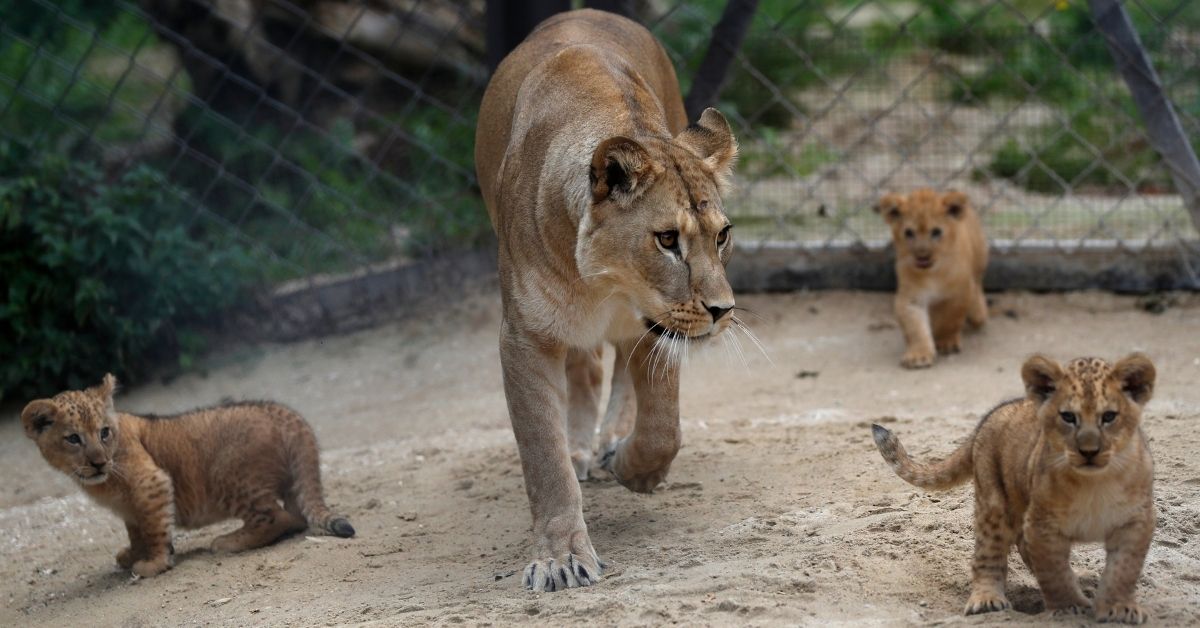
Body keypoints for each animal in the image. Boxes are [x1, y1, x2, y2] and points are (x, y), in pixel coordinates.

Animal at [21, 374, 353, 577]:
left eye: (104, 433)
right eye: (73, 439)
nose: (99, 463)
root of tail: (281, 411)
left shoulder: (151, 482)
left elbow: (154, 528)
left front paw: (154, 563)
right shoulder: (130, 508)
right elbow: (137, 530)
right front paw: (133, 554)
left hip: (226, 475)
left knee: (277, 517)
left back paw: (228, 541)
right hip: (289, 481)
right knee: (297, 514)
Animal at [474, 9, 739, 591]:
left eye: (723, 236)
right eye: (667, 239)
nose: (722, 311)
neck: (603, 284)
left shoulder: (657, 323)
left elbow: (663, 427)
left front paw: (636, 471)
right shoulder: (524, 338)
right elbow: (543, 458)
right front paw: (561, 558)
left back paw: (613, 443)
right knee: (586, 372)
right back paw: (581, 446)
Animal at [871, 354, 1157, 624]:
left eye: (1109, 417)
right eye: (1068, 417)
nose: (1089, 452)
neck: (1095, 483)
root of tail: (989, 416)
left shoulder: (1135, 521)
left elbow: (1123, 570)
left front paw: (1119, 608)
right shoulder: (1043, 523)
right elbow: (1054, 570)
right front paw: (1068, 607)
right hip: (993, 504)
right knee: (989, 554)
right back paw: (987, 600)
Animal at [874, 188, 988, 368]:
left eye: (936, 232)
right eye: (909, 233)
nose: (922, 256)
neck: (932, 273)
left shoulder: (959, 294)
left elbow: (949, 320)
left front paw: (946, 342)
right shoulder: (910, 298)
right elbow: (915, 327)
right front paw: (919, 354)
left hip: (979, 263)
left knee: (977, 294)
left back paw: (977, 311)